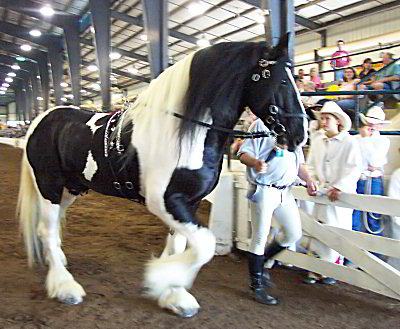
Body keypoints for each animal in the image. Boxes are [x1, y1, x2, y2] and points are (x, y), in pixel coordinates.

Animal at [16, 32, 306, 316]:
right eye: (282, 81)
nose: (300, 135)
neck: (185, 134)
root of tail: (42, 119)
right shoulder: (164, 202)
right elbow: (204, 245)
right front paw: (160, 278)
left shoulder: (188, 202)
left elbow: (181, 245)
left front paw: (175, 297)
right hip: (49, 186)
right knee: (47, 230)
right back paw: (64, 286)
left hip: (71, 188)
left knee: (51, 227)